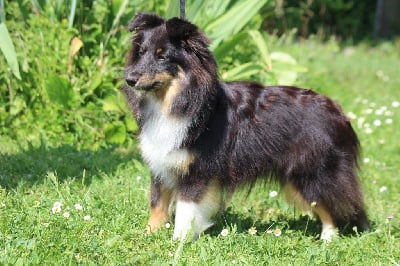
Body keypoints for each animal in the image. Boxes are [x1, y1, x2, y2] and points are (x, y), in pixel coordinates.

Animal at [123, 12, 370, 241]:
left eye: (162, 56)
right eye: (141, 52)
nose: (129, 79)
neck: (174, 100)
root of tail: (338, 111)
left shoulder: (198, 170)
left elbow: (186, 210)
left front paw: (178, 243)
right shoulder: (162, 163)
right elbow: (157, 202)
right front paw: (148, 234)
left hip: (312, 172)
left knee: (331, 204)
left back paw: (328, 239)